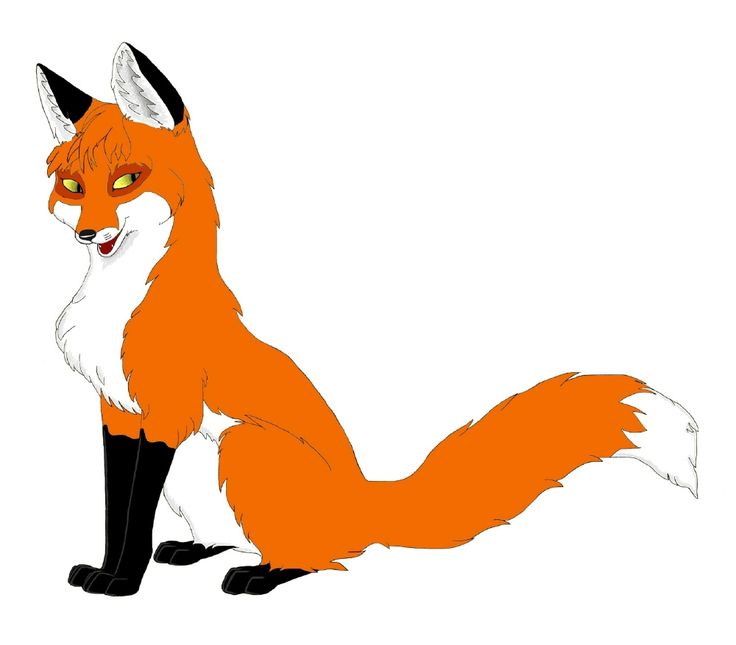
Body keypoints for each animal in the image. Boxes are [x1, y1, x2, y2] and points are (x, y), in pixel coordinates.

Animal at [37, 43, 699, 597]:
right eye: (72, 186)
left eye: (127, 180)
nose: (88, 233)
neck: (119, 303)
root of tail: (362, 500)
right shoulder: (120, 412)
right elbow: (117, 509)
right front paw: (108, 570)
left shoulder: (167, 411)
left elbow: (133, 516)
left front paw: (122, 583)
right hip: (198, 475)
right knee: (247, 539)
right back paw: (200, 549)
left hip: (243, 445)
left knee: (320, 558)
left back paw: (263, 575)